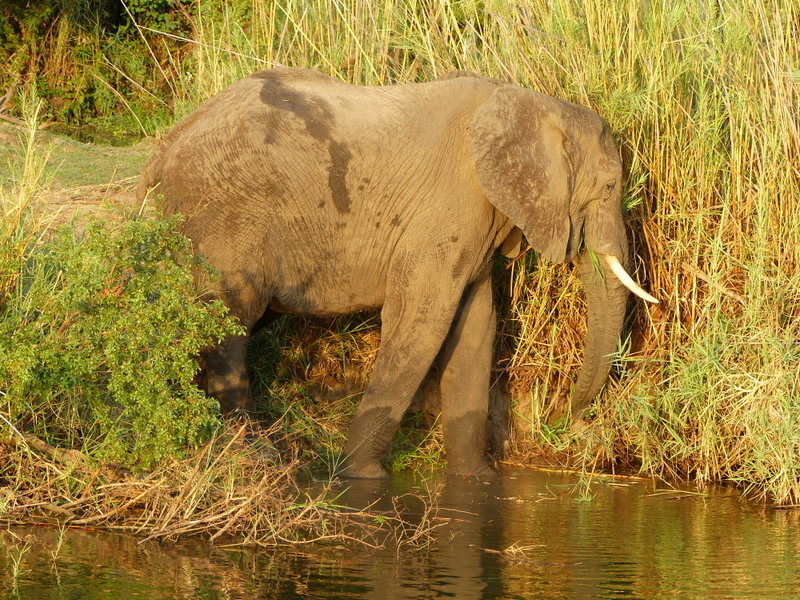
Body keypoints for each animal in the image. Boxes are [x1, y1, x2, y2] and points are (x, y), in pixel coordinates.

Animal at [138, 67, 660, 478]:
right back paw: (255, 453)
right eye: (609, 185)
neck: (532, 102)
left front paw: (476, 479)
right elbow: (421, 324)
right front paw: (359, 478)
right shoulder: (446, 211)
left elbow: (475, 329)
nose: (564, 418)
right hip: (224, 215)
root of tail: (166, 147)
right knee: (229, 323)